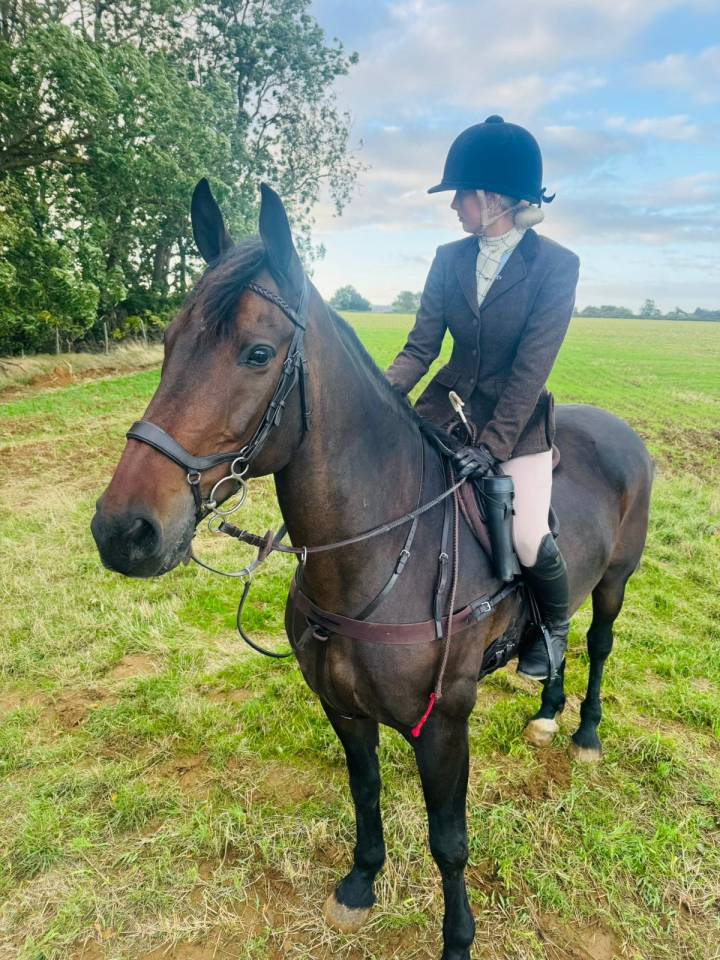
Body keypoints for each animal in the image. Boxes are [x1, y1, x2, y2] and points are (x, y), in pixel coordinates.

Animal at [91, 180, 653, 960]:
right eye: (169, 344)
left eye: (258, 352)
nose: (124, 532)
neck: (375, 561)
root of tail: (619, 430)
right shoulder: (342, 707)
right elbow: (365, 792)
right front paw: (360, 885)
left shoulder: (442, 723)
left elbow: (450, 841)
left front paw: (457, 940)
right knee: (559, 633)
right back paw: (546, 709)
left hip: (614, 581)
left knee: (597, 643)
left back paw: (586, 733)